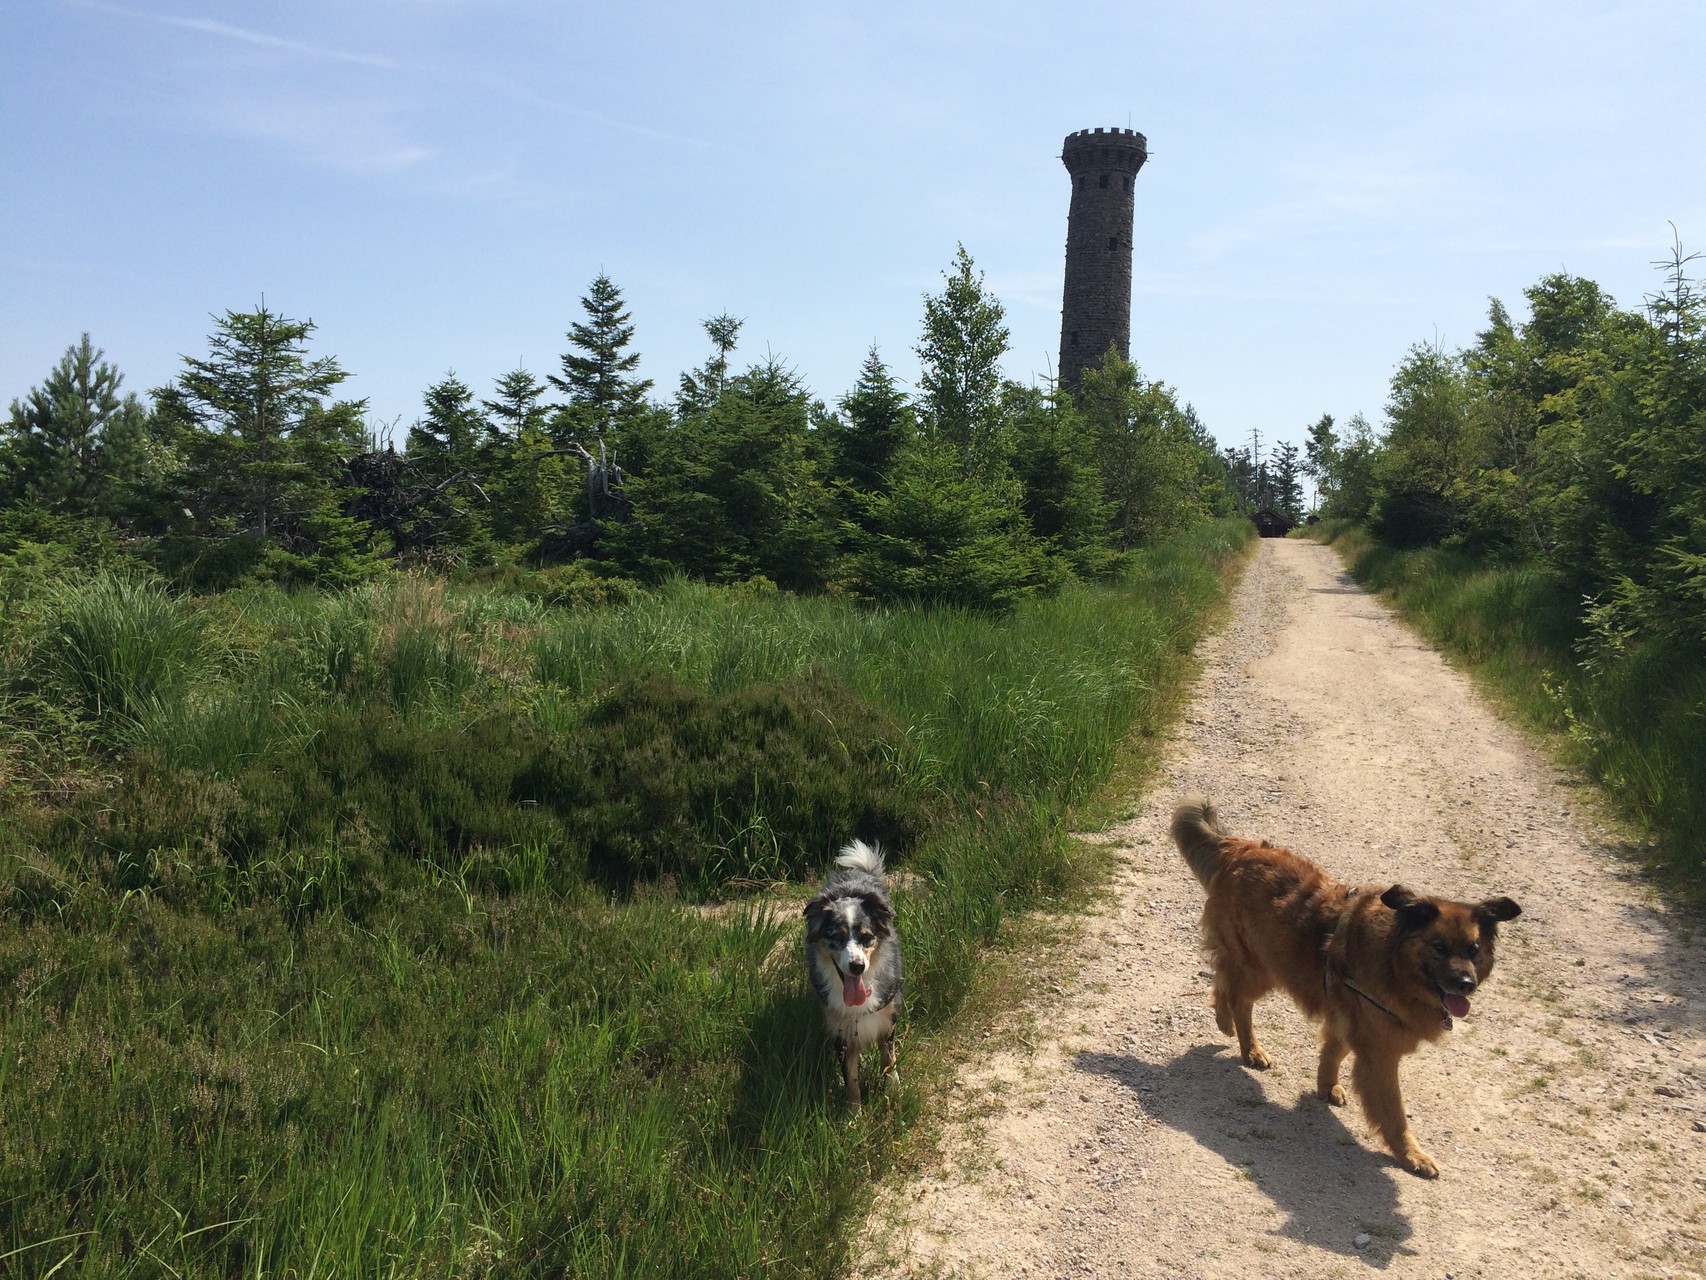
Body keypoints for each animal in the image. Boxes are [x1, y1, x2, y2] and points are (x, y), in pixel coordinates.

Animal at [1173, 802, 1521, 1181]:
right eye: (1439, 947)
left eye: (1473, 950)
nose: (1466, 985)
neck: (1393, 960)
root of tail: (1242, 847)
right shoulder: (1380, 1053)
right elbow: (1394, 1112)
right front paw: (1411, 1155)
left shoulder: (1349, 1019)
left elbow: (1333, 1053)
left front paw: (1327, 1086)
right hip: (1259, 967)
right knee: (1235, 994)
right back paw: (1243, 1040)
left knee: (1225, 982)